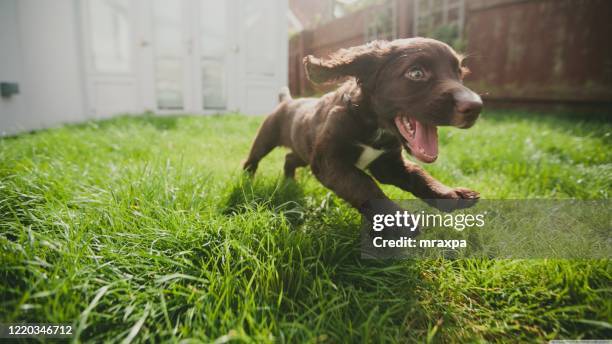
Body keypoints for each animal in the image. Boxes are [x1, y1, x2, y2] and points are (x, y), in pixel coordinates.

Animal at [244, 37, 482, 219]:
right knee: (253, 159)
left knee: (290, 158)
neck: (373, 127)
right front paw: (396, 222)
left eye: (460, 74)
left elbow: (419, 175)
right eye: (416, 73)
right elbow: (363, 184)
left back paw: (289, 182)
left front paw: (450, 194)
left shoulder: (389, 165)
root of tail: (287, 101)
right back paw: (247, 182)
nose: (476, 106)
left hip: (305, 151)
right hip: (266, 138)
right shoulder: (329, 161)